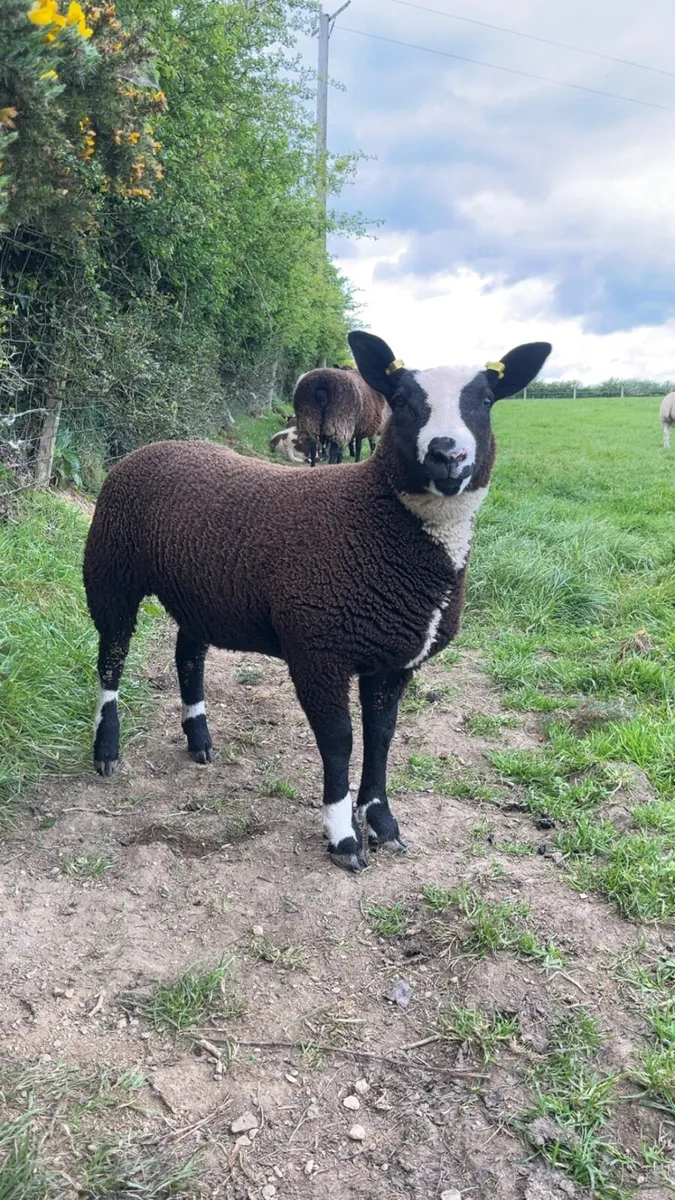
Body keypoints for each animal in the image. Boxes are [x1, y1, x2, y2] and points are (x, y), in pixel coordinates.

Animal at [83, 330, 551, 873]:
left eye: (487, 400)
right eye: (401, 399)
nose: (447, 454)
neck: (375, 520)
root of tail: (152, 447)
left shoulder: (394, 661)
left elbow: (381, 735)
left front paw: (383, 823)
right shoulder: (318, 649)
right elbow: (338, 740)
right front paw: (343, 836)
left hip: (199, 591)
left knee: (188, 655)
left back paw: (199, 740)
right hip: (111, 569)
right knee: (112, 657)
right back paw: (107, 749)